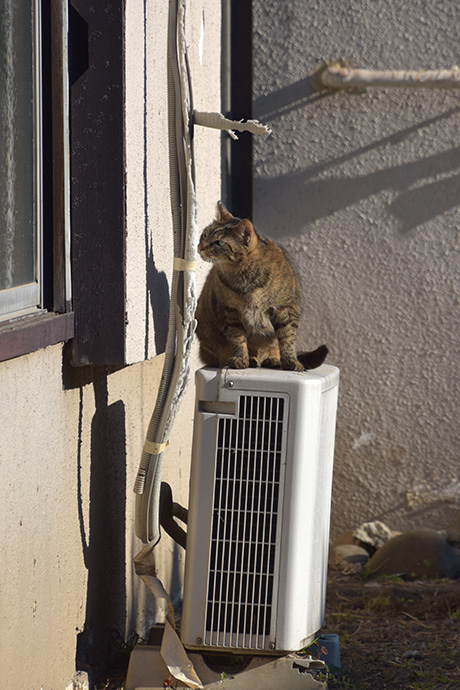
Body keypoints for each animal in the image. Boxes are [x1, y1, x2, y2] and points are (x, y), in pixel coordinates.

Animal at [196, 200, 328, 370]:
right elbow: (237, 339)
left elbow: (287, 339)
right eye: (205, 235)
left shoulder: (285, 309)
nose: (200, 247)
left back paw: (273, 359)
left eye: (219, 242)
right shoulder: (229, 312)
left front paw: (291, 360)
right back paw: (251, 359)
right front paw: (241, 358)